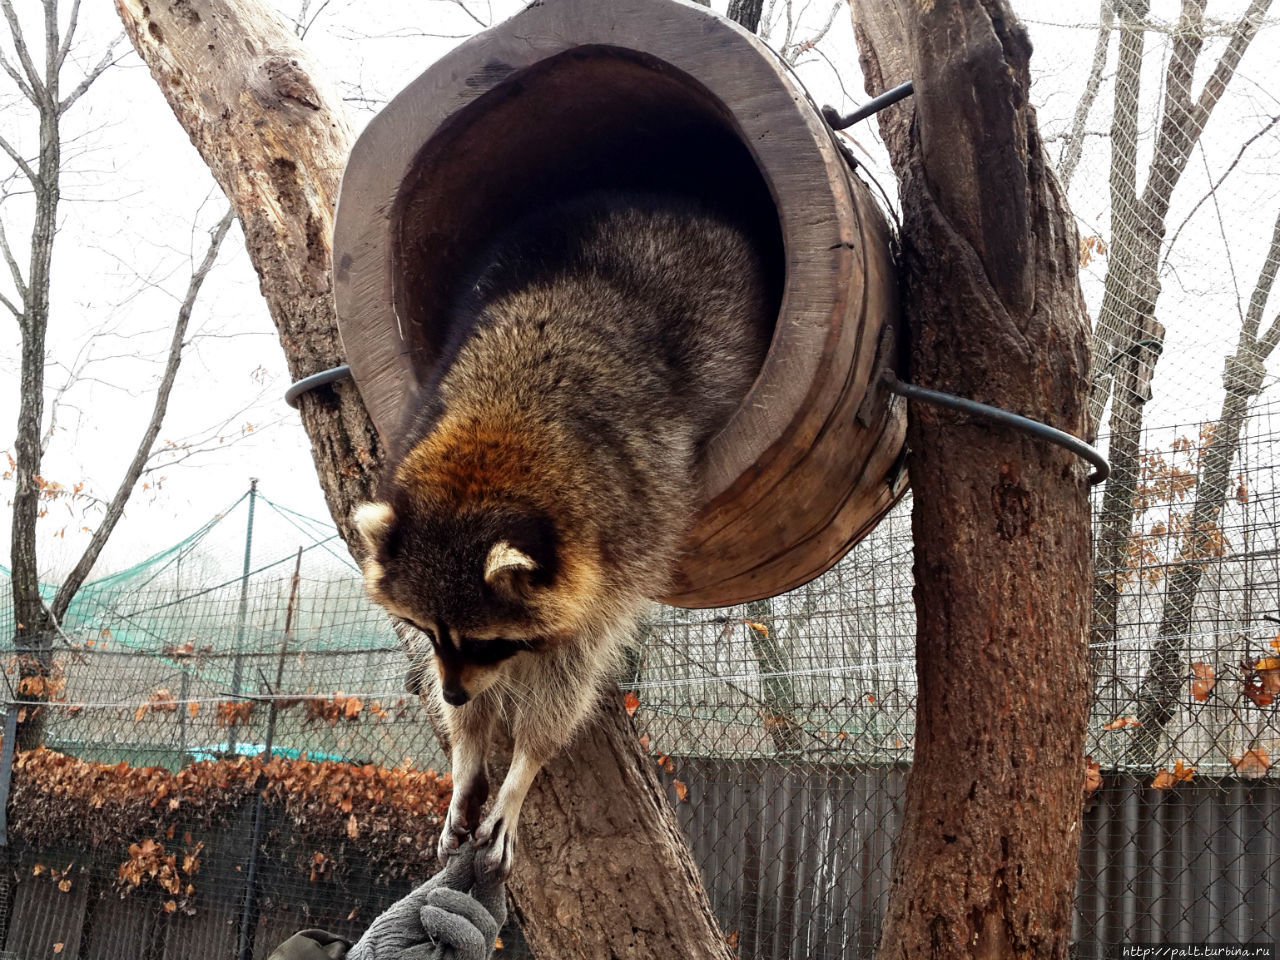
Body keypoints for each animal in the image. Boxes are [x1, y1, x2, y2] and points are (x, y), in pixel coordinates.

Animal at [350, 192, 768, 885]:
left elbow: (569, 680)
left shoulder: (624, 544)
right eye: (430, 633)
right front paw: (467, 748)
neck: (489, 456)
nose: (454, 691)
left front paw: (522, 770)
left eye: (490, 642)